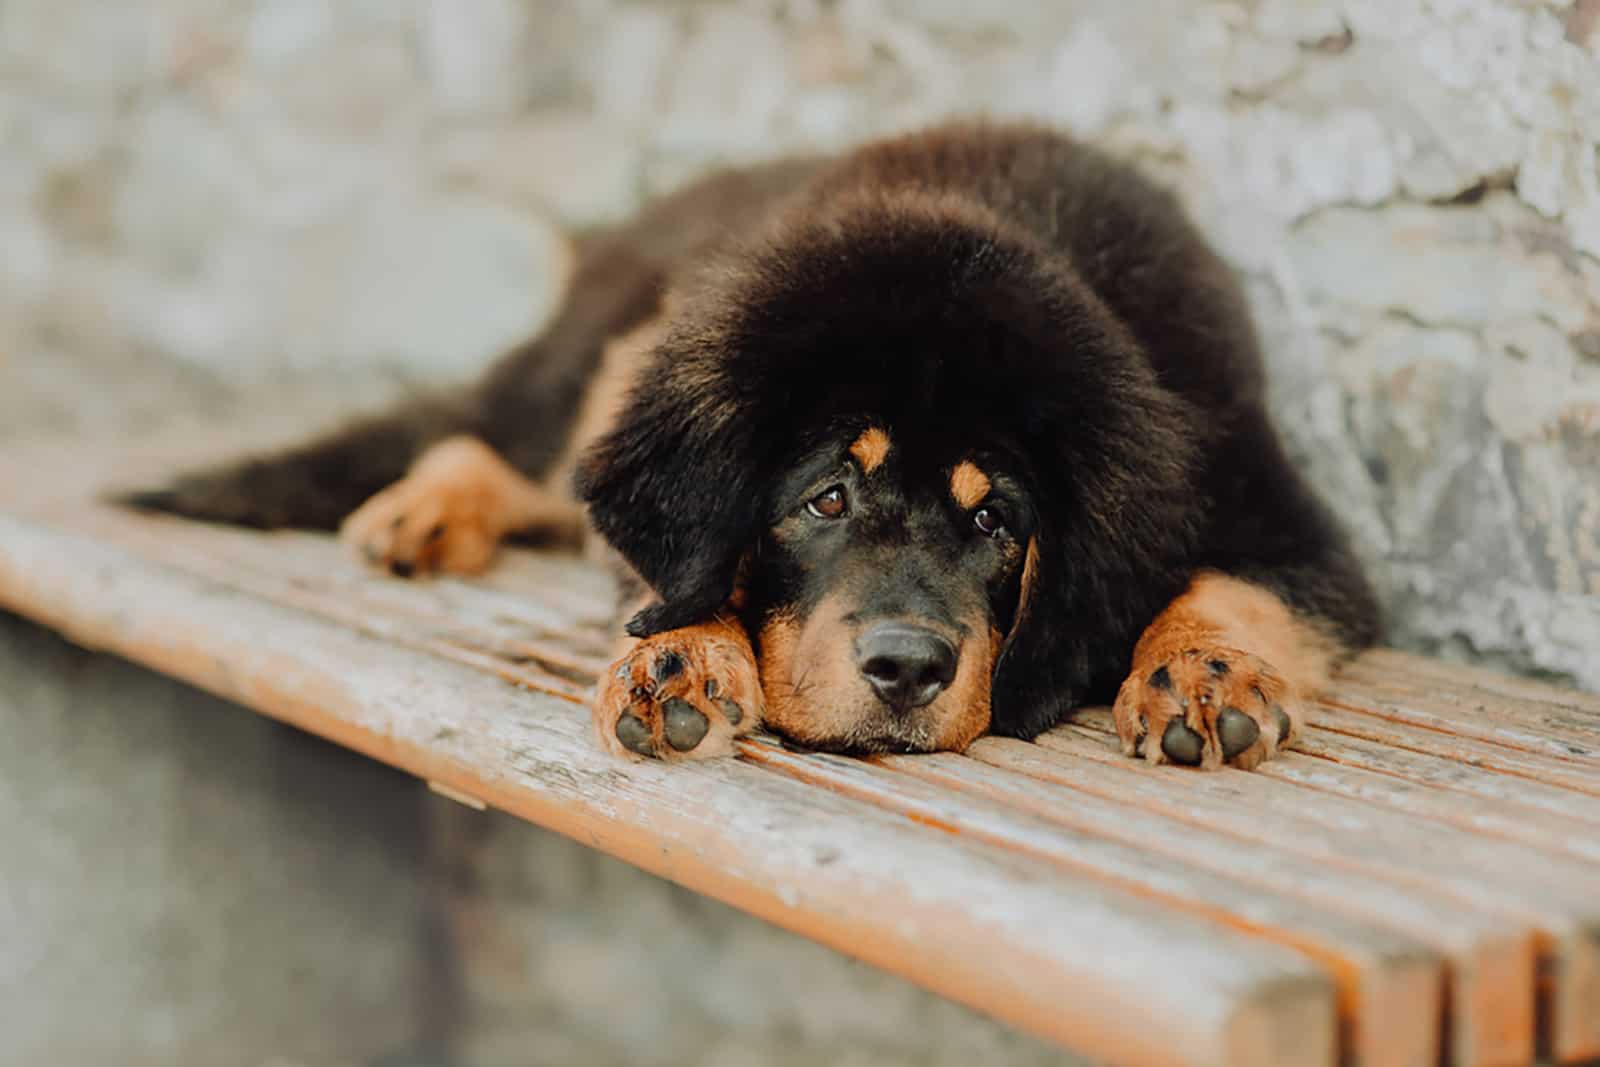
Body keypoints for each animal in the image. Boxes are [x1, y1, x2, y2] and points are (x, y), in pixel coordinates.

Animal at [121, 120, 1376, 771]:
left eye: (994, 520)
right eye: (825, 499)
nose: (905, 670)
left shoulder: (1273, 511)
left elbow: (1227, 586)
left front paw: (1203, 677)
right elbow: (680, 572)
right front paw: (679, 656)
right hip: (603, 350)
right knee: (501, 437)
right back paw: (421, 508)